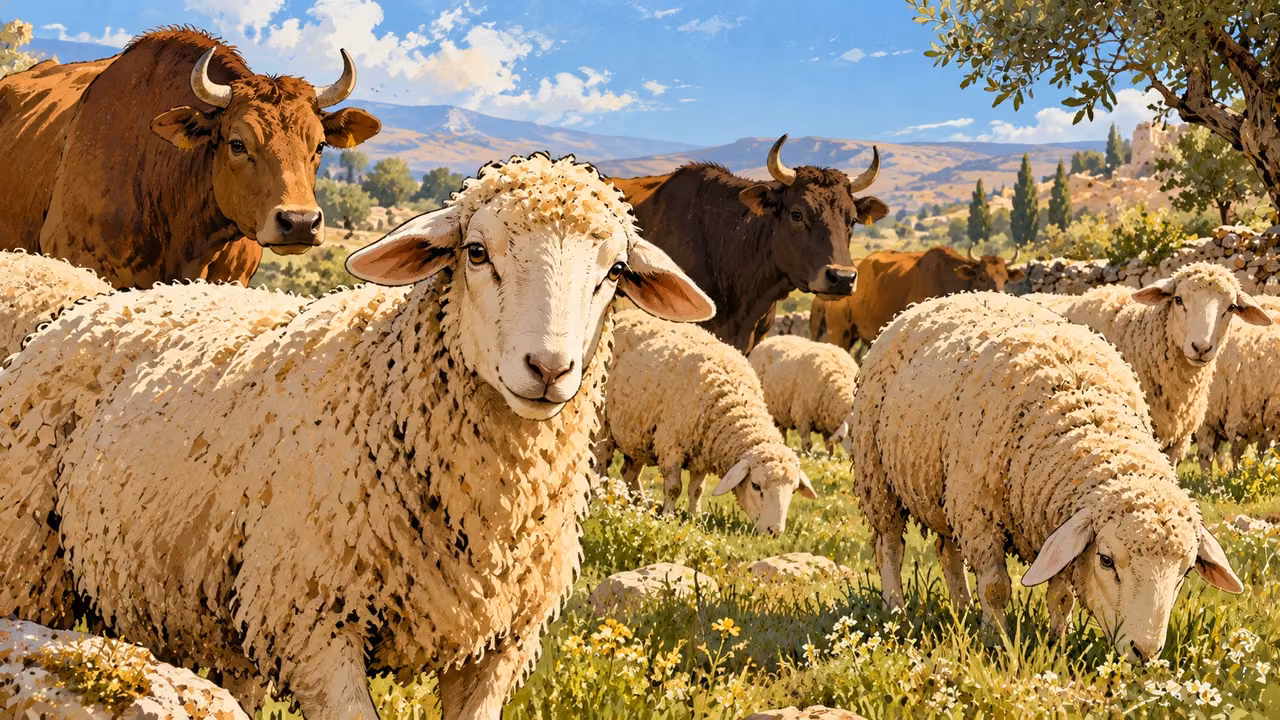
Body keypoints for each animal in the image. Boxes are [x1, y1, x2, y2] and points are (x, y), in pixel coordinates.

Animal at [0, 152, 714, 720]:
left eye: (614, 272)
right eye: (476, 253)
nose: (548, 369)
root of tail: (92, 305)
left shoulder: (498, 648)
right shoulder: (314, 624)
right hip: (29, 567)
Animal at [851, 291, 1243, 662]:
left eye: (1186, 572)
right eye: (1106, 560)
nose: (1144, 652)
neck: (1083, 423)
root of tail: (937, 300)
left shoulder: (1053, 520)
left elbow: (1062, 596)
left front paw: (1057, 642)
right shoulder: (981, 515)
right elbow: (995, 588)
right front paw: (997, 639)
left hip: (945, 492)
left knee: (947, 552)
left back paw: (962, 610)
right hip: (879, 476)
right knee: (890, 546)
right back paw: (896, 609)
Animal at [1195, 295, 1280, 473]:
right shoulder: (1239, 418)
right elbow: (1238, 455)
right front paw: (1237, 476)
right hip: (1207, 415)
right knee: (1205, 453)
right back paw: (1206, 478)